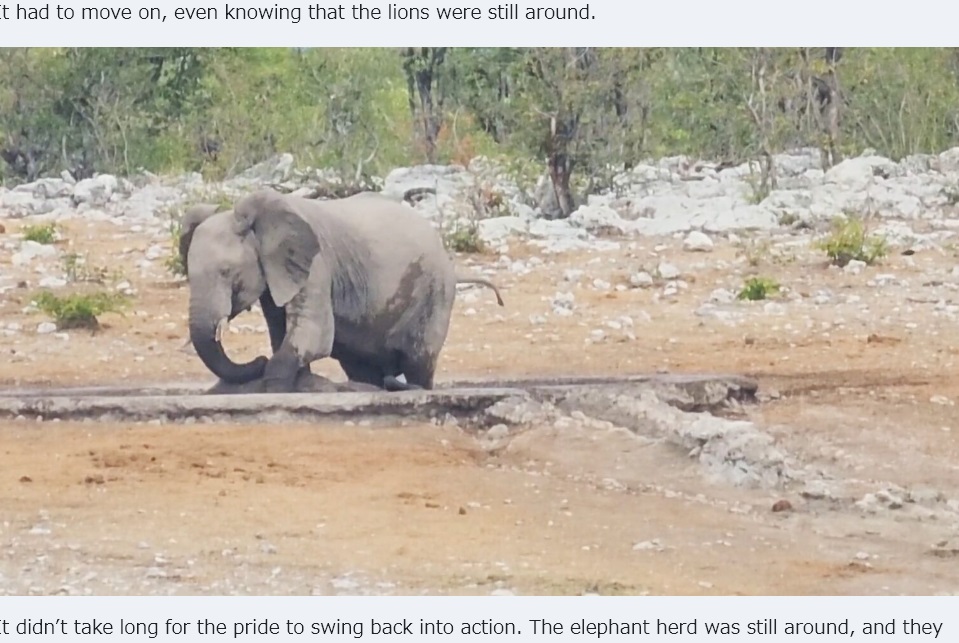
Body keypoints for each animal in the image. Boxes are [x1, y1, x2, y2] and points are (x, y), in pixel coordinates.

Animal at [181, 189, 506, 394]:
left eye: (227, 273)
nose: (256, 361)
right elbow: (283, 329)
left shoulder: (316, 266)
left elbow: (313, 335)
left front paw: (275, 385)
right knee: (362, 367)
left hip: (435, 292)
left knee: (419, 362)